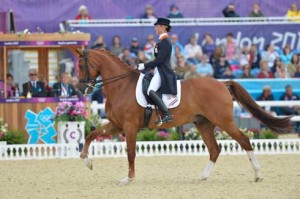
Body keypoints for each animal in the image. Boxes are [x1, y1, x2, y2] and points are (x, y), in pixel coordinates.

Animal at [76, 48, 292, 185]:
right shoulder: (116, 125)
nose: (81, 89)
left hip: (223, 121)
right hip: (204, 124)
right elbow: (91, 135)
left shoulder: (129, 127)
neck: (121, 86)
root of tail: (222, 83)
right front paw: (87, 161)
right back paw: (202, 177)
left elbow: (130, 153)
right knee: (214, 149)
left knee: (244, 140)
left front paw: (128, 179)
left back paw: (257, 174)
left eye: (81, 66)